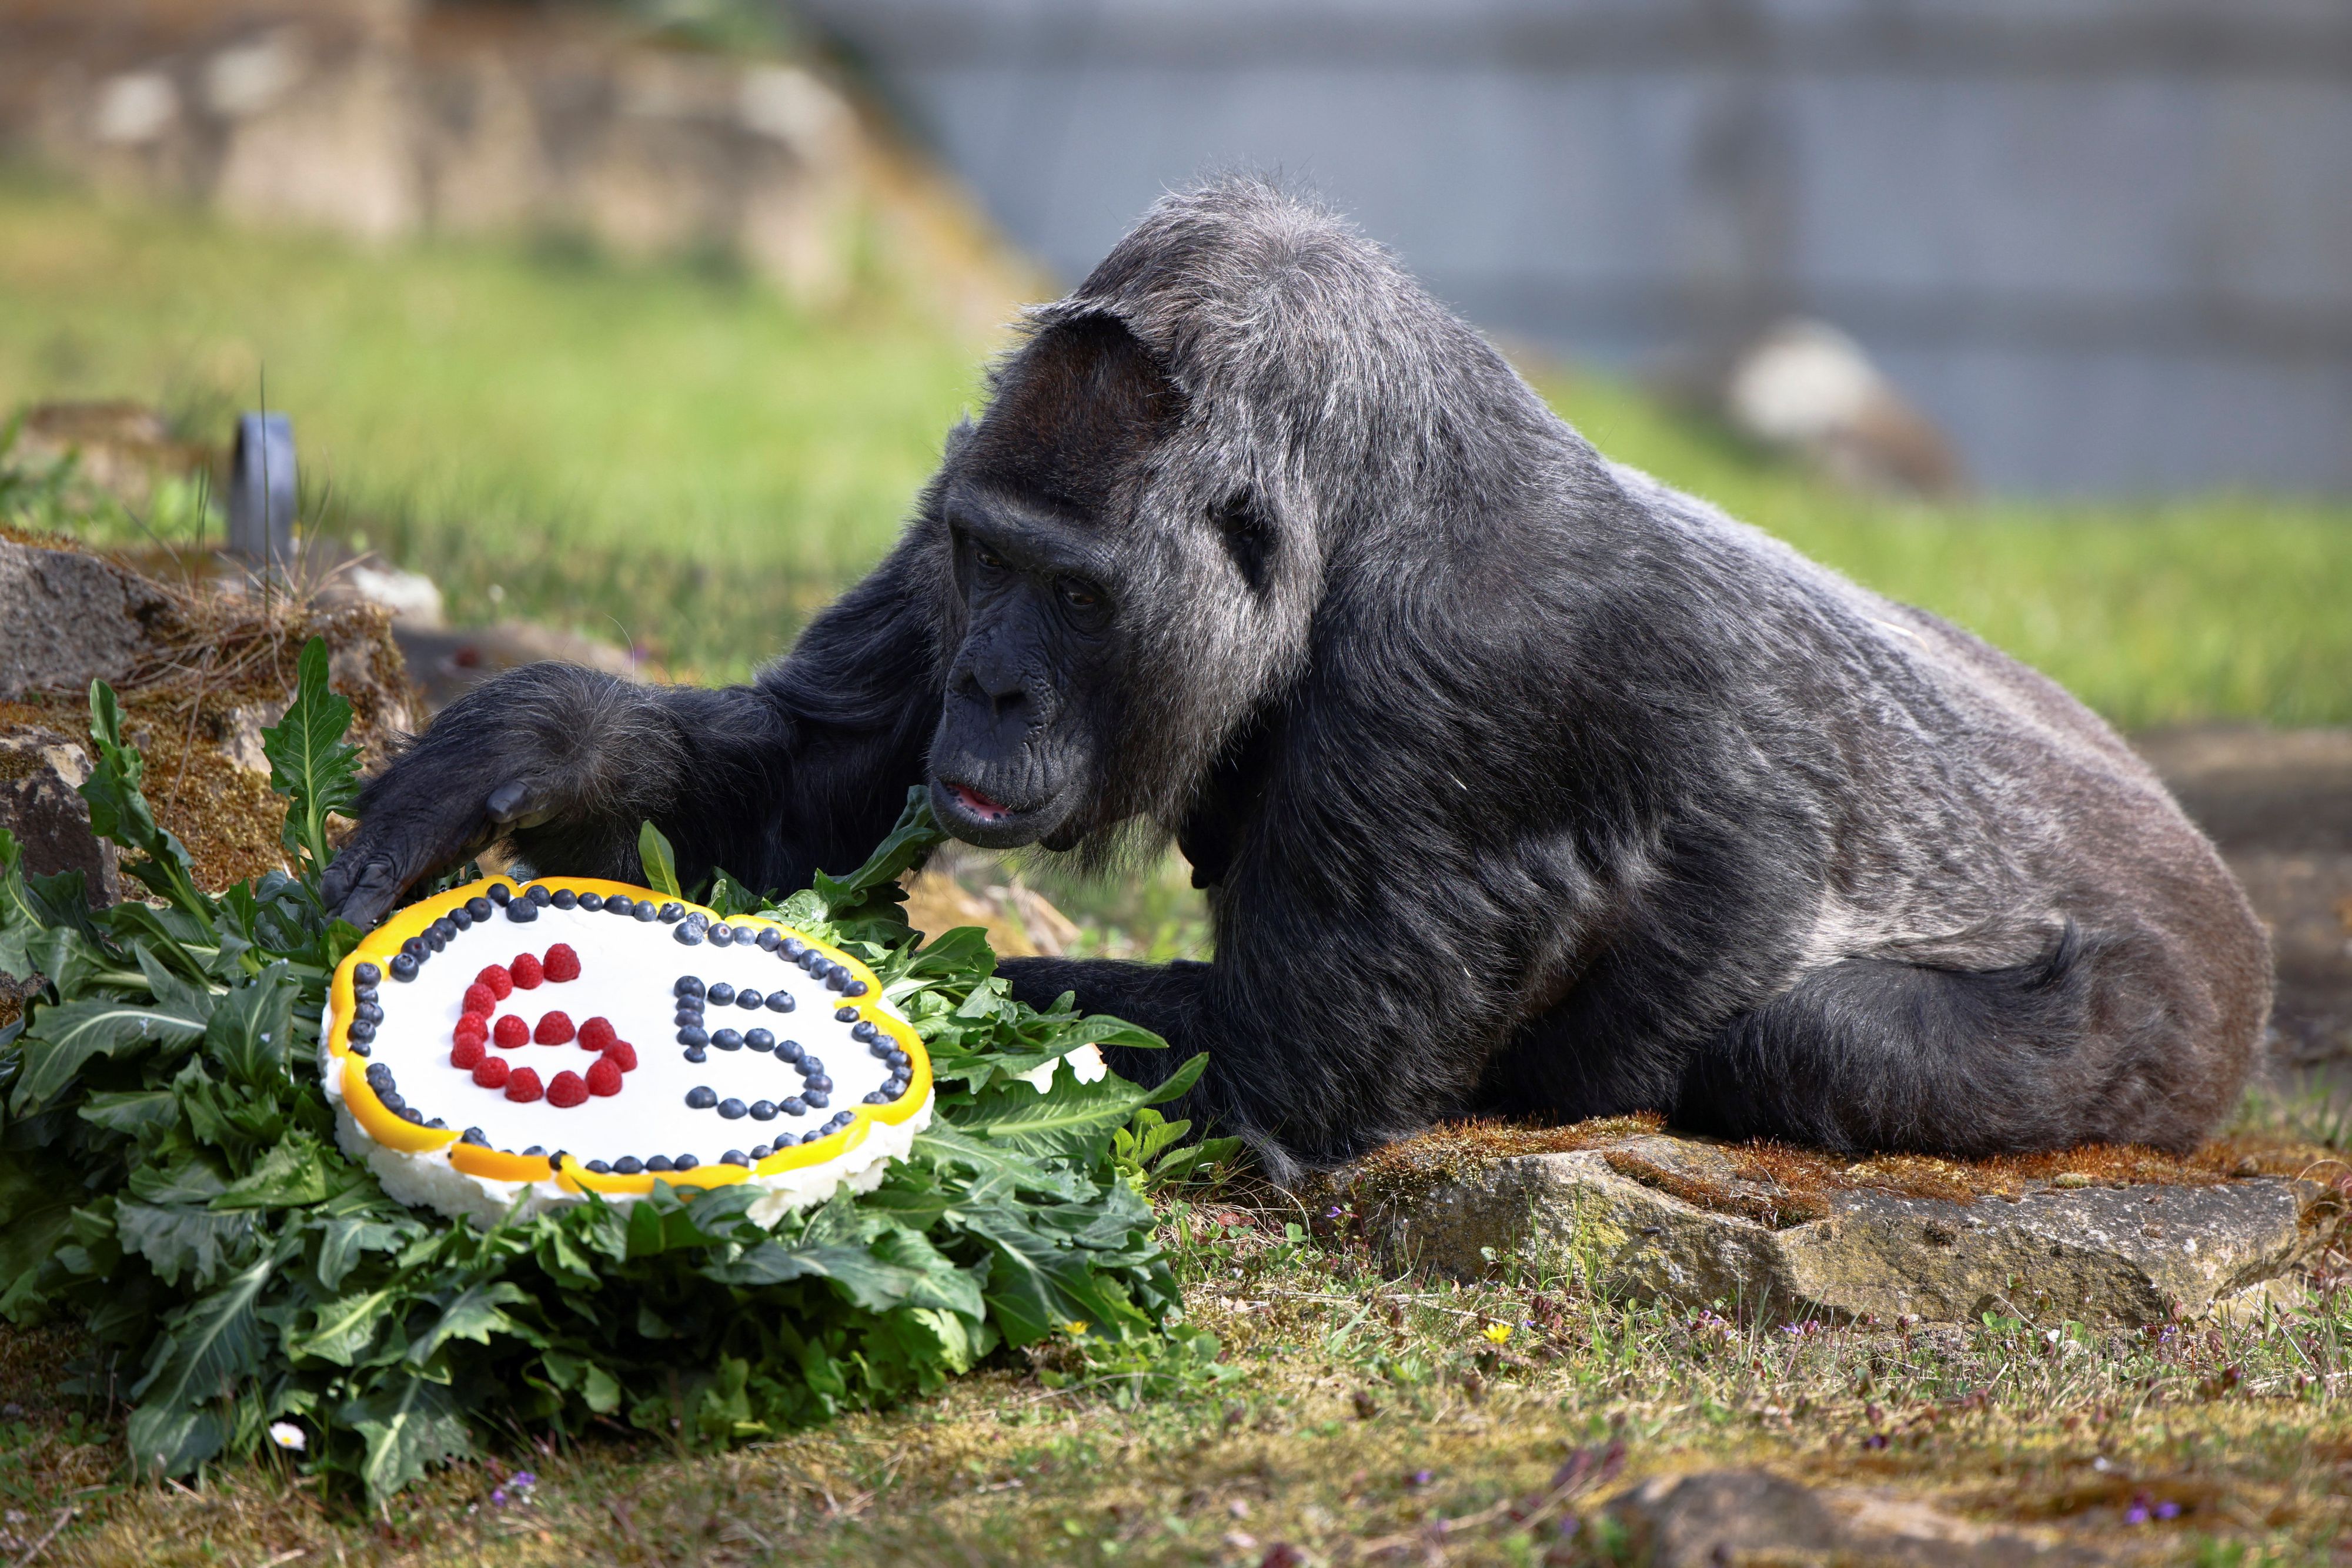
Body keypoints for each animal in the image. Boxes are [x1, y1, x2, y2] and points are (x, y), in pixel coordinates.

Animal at [323, 177, 2269, 1177]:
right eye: (989, 562)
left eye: (1072, 591)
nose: (993, 691)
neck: (1366, 498)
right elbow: (804, 784)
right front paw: (542, 742)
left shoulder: (1468, 685)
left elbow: (1252, 1092)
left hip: (2175, 1030)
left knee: (1809, 1044)